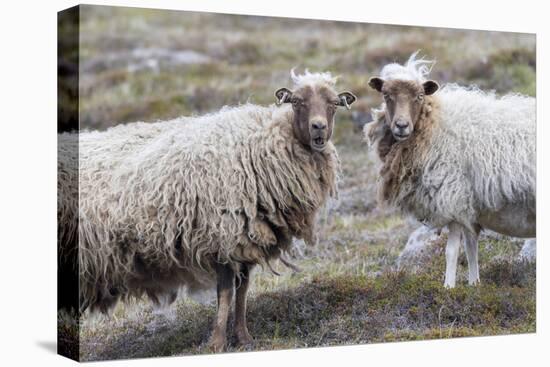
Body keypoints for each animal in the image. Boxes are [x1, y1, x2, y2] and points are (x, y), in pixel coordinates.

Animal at [57, 70, 358, 352]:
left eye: (334, 103)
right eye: (297, 101)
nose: (318, 128)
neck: (260, 145)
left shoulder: (245, 240)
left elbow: (242, 291)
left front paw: (244, 338)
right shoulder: (222, 236)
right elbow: (225, 293)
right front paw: (217, 343)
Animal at [368, 52, 536, 288]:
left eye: (420, 96)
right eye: (386, 95)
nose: (401, 126)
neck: (433, 124)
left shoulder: (452, 198)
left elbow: (452, 251)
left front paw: (448, 287)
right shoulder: (468, 207)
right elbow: (471, 247)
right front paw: (474, 284)